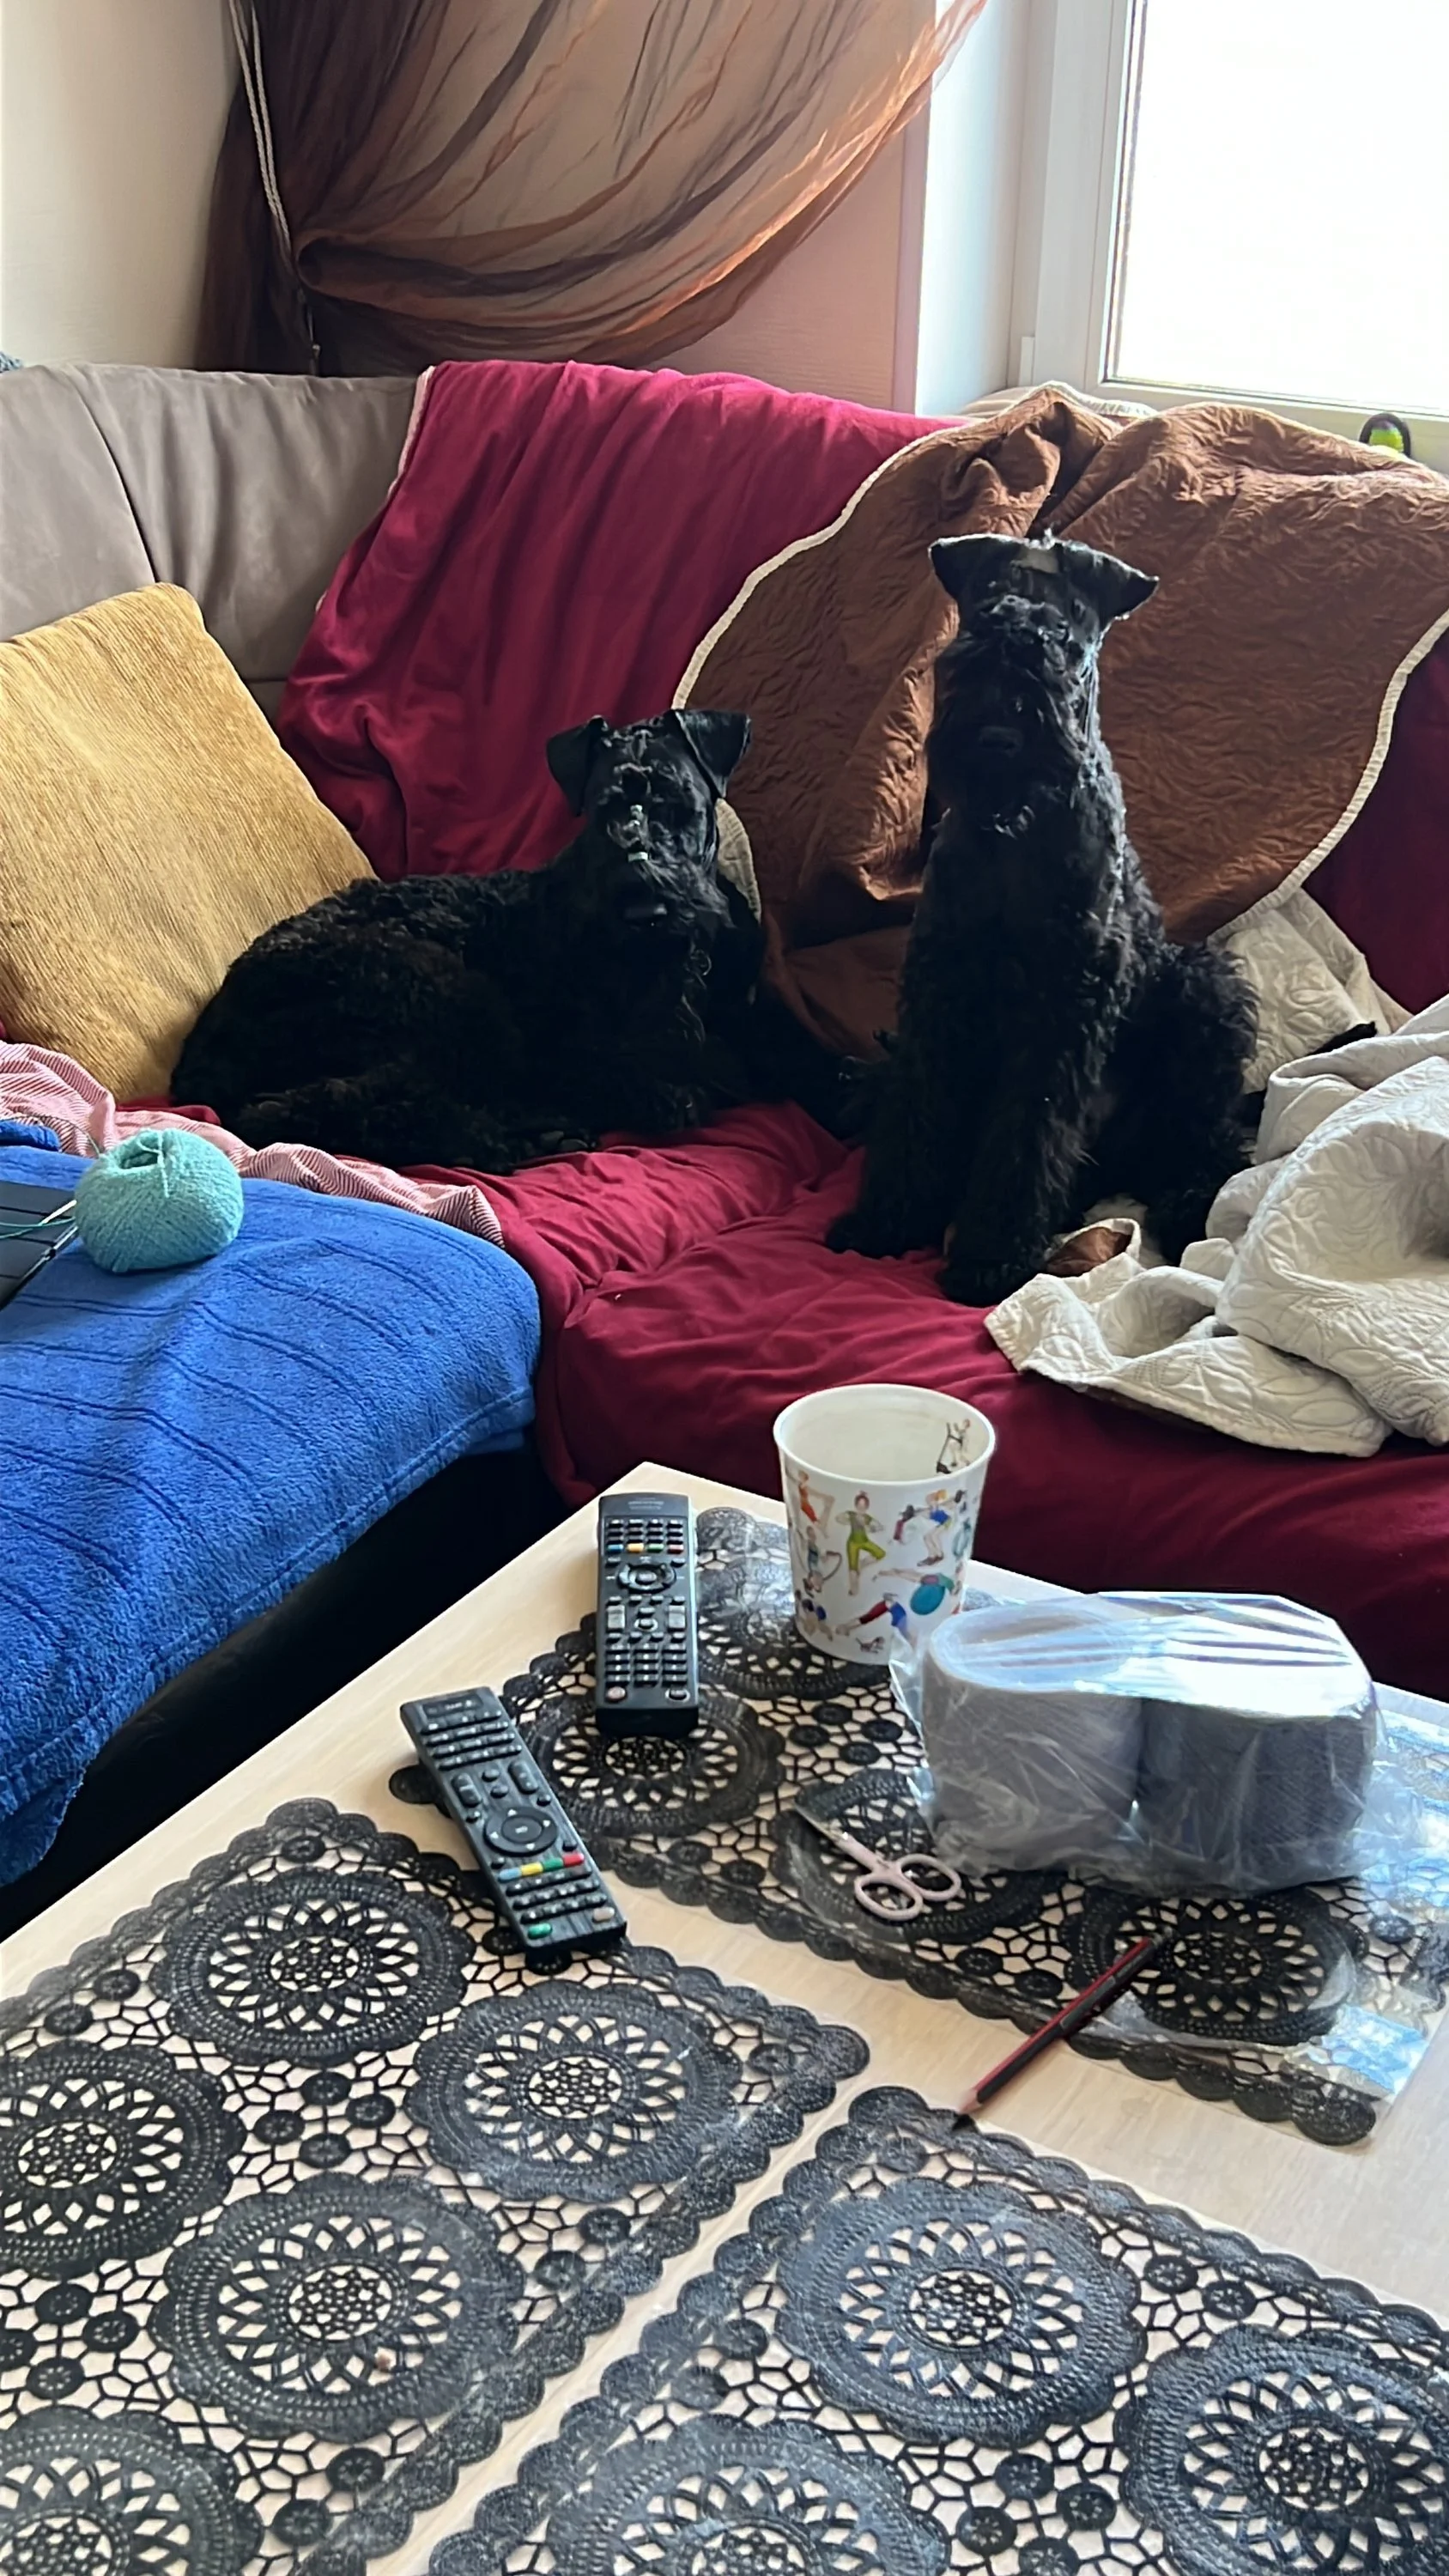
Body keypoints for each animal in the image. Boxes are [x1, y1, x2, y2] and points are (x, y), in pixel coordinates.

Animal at [175, 706, 850, 1170]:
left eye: (675, 803)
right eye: (604, 809)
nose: (646, 909)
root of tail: (201, 1049)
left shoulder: (745, 1015)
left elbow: (797, 1052)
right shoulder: (577, 1050)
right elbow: (663, 1078)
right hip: (444, 995)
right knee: (311, 1108)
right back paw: (520, 1136)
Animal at [829, 534, 1257, 1304]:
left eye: (1068, 636)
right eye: (975, 624)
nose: (1001, 733)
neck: (1015, 832)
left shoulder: (1063, 1008)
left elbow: (1029, 1131)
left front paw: (992, 1254)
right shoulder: (941, 988)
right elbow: (917, 1105)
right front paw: (887, 1215)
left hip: (1204, 994)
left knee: (1206, 1146)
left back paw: (1187, 1205)